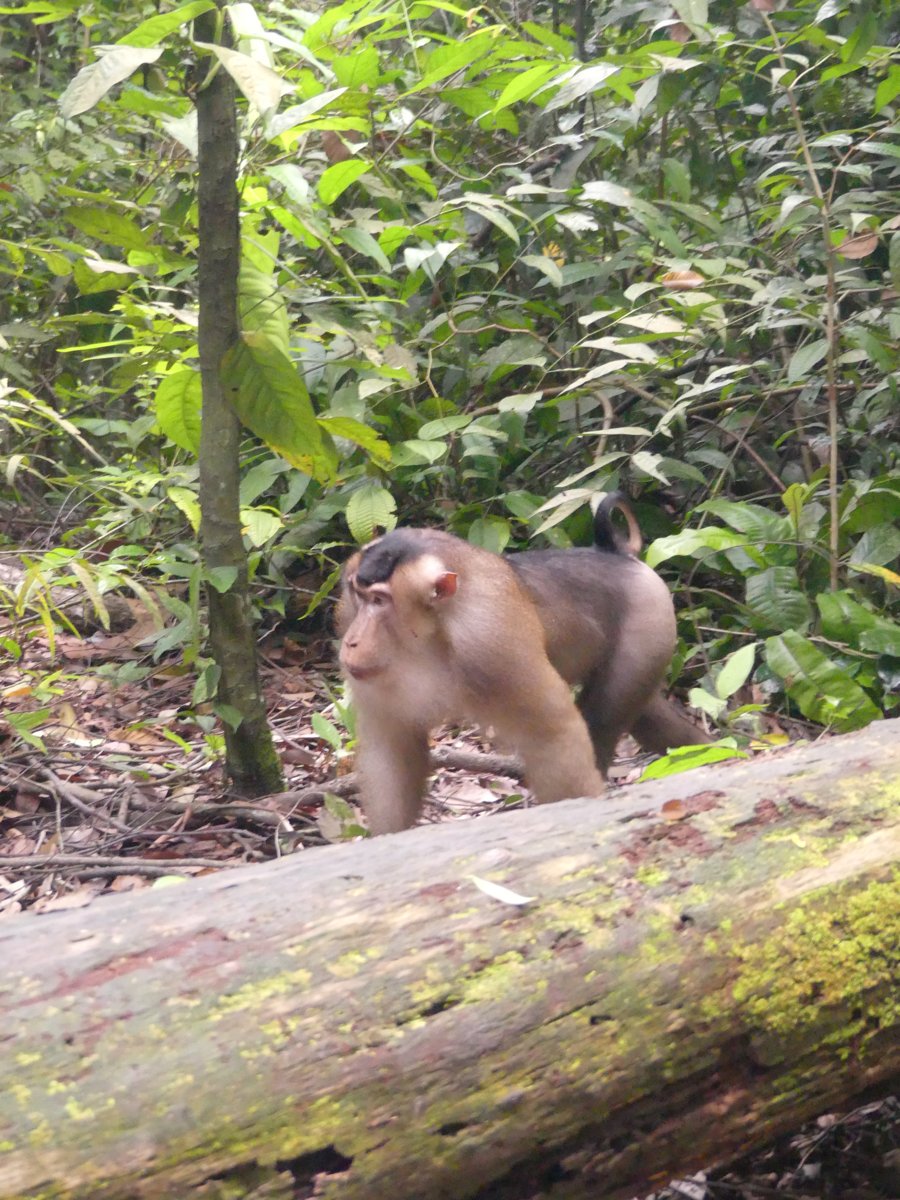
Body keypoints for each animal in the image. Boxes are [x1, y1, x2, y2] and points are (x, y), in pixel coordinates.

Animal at [336, 494, 709, 835]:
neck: (429, 634)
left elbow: (554, 734)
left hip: (649, 622)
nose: (351, 641)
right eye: (358, 594)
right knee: (646, 717)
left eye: (379, 601)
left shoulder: (492, 638)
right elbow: (394, 750)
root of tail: (617, 555)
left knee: (604, 718)